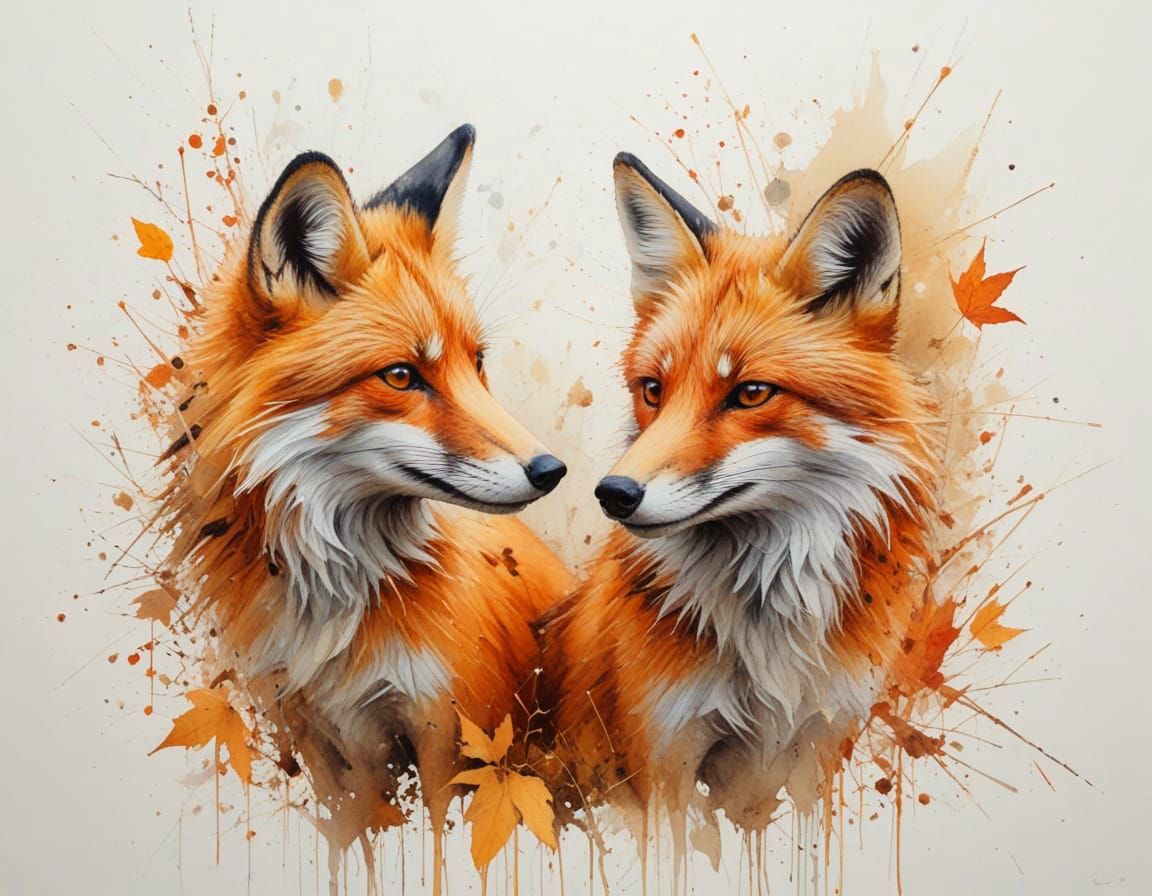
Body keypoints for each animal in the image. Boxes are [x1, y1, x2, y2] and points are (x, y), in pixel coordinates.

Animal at [159, 125, 574, 881]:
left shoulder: (451, 736)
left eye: (477, 363)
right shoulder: (318, 744)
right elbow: (351, 850)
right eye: (402, 376)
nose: (551, 470)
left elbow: (440, 851)